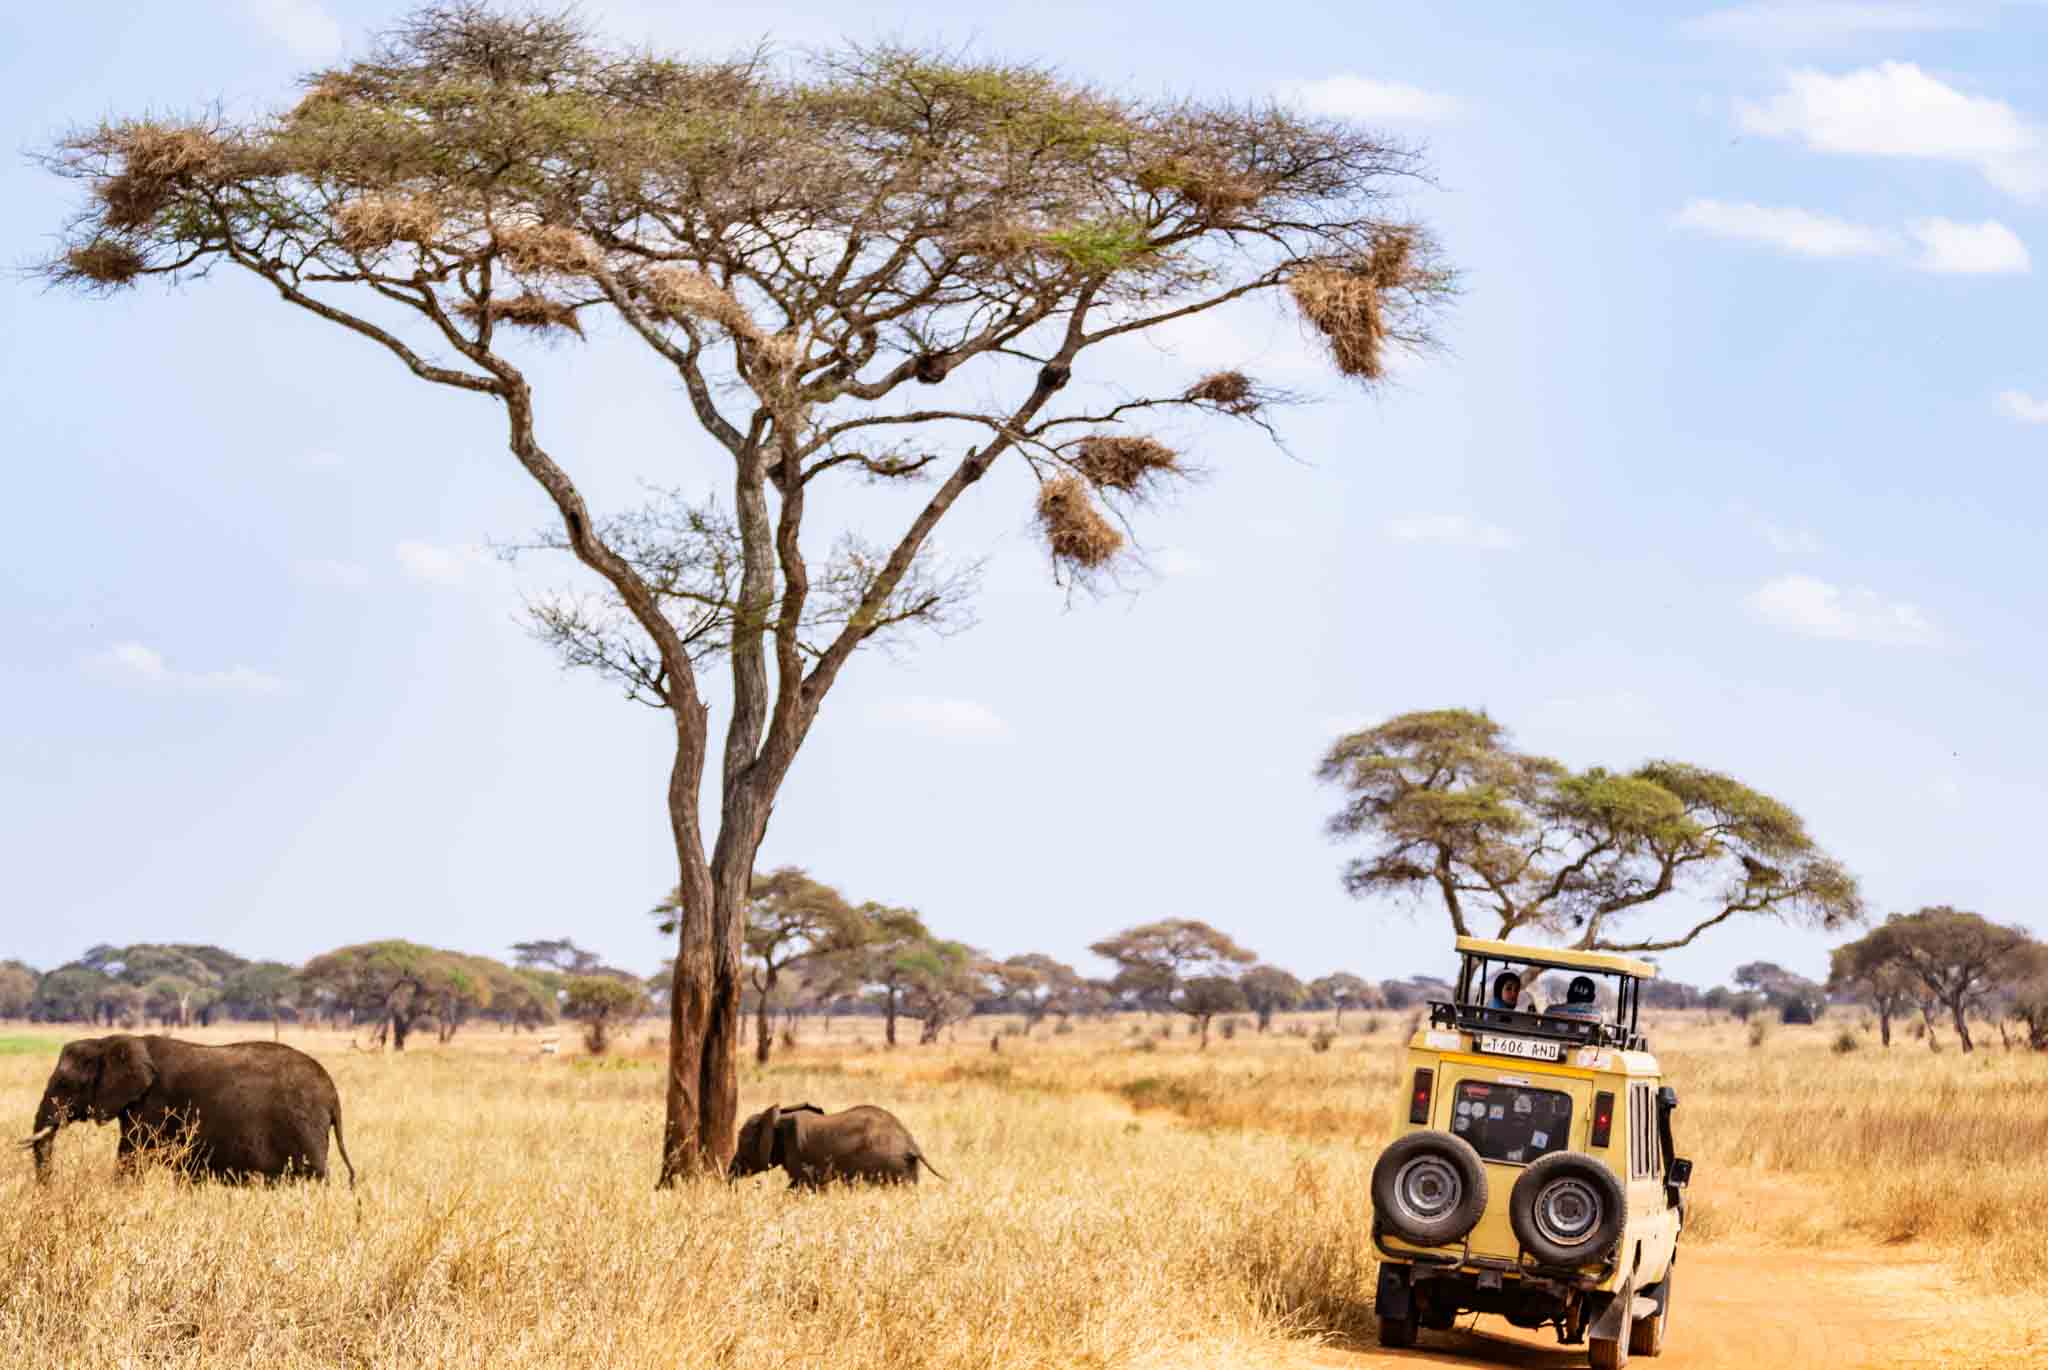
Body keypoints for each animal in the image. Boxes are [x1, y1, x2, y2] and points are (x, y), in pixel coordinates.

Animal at [19, 1032, 354, 1179]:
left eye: (64, 1083)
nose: (47, 1195)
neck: (108, 1041)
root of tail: (333, 1096)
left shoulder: (152, 1104)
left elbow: (131, 1155)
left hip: (304, 1126)